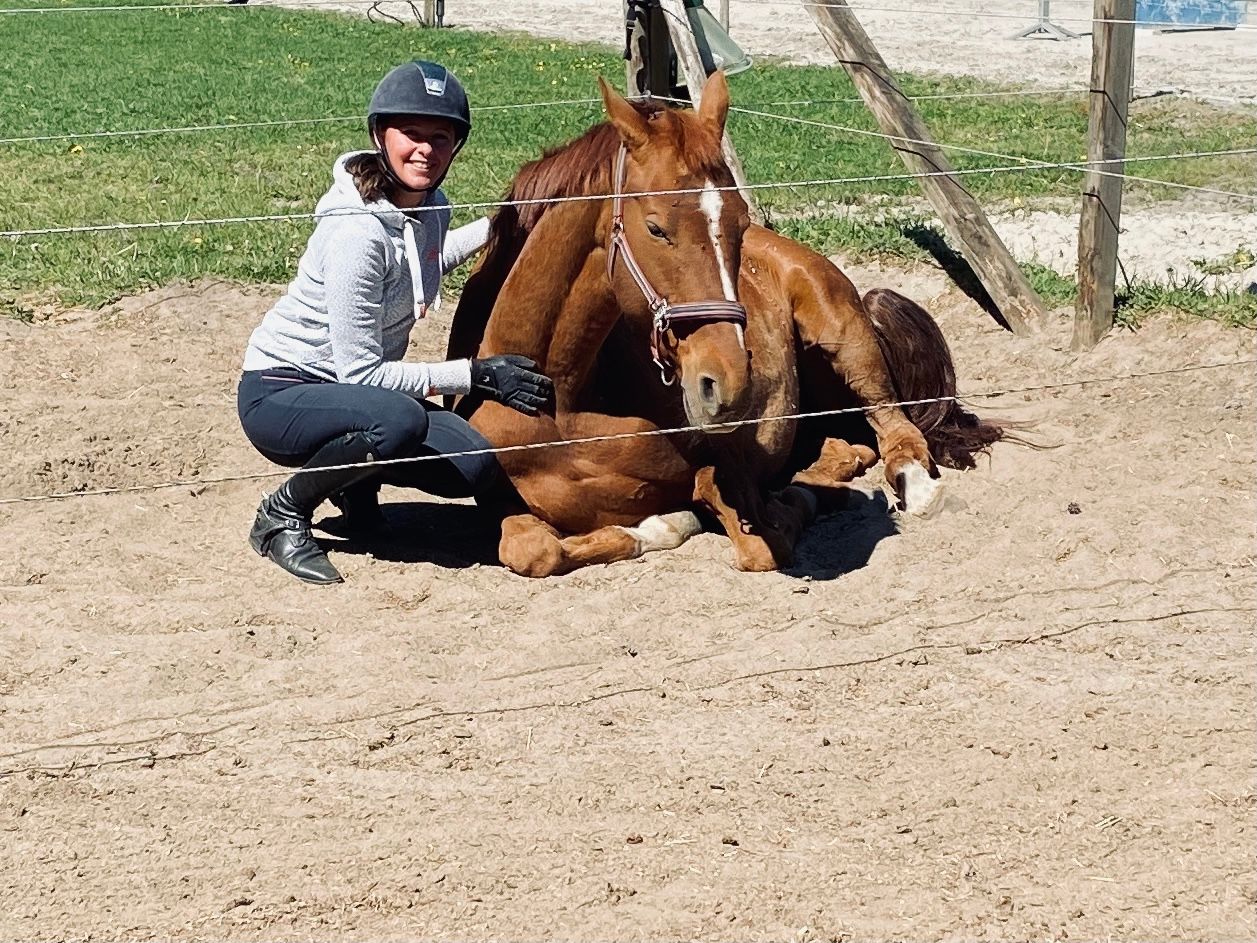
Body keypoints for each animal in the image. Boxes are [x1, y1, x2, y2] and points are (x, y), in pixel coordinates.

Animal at [447, 71, 1004, 577]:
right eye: (655, 228)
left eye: (739, 223)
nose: (728, 382)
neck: (562, 403)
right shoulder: (502, 503)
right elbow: (533, 552)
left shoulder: (731, 464)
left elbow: (754, 536)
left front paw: (693, 517)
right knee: (847, 444)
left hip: (847, 341)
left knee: (894, 430)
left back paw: (907, 483)